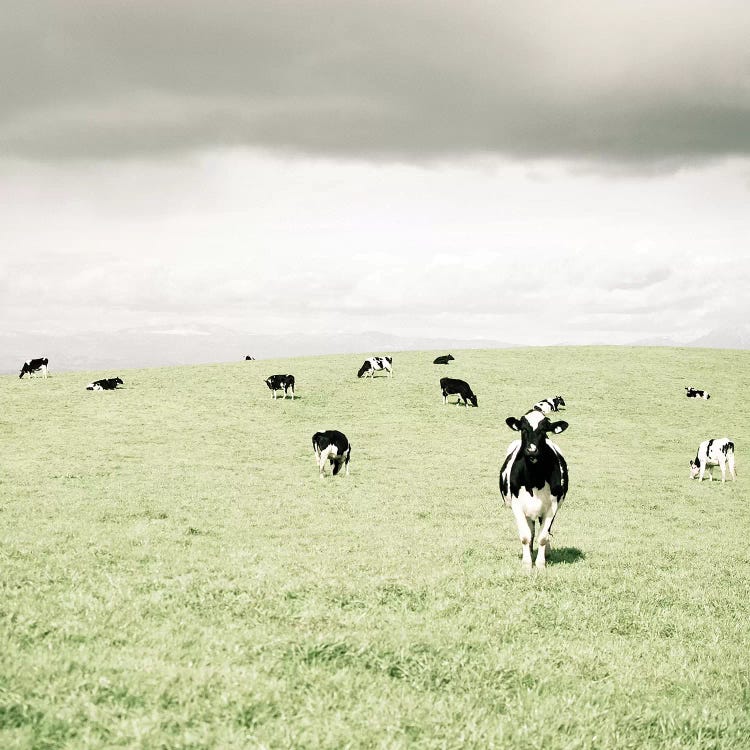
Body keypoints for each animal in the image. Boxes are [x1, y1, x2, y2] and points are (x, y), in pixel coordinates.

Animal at [500, 412, 568, 568]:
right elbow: (526, 536)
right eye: (523, 429)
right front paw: (526, 563)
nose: (532, 450)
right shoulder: (517, 505)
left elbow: (543, 536)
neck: (534, 480)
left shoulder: (552, 507)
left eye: (543, 430)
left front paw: (540, 564)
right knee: (531, 530)